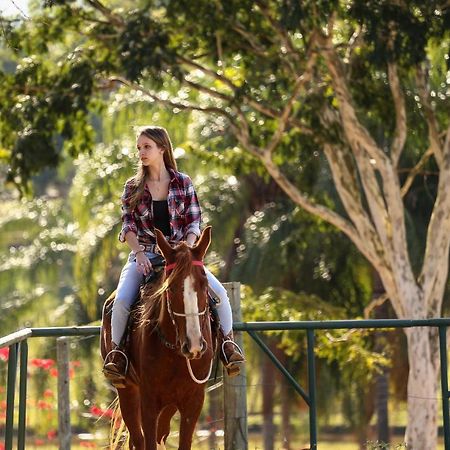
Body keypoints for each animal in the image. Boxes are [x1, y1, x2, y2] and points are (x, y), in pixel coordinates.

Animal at [100, 229, 216, 450]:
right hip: (127, 390)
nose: (194, 344)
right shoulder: (149, 401)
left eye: (204, 285)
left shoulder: (194, 401)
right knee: (138, 438)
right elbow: (147, 440)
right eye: (170, 288)